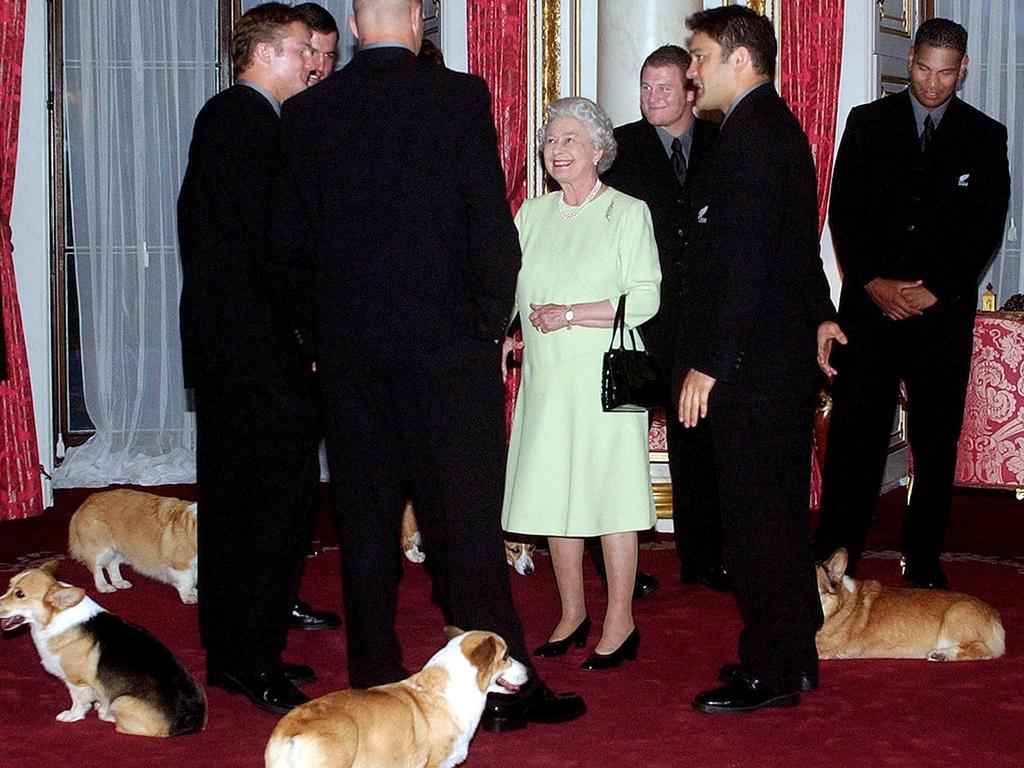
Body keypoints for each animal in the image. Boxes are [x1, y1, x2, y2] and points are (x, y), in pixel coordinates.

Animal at [0, 561, 207, 737]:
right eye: (9, 586)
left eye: (20, 594)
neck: (54, 619)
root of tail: (190, 722)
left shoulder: (77, 682)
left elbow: (78, 702)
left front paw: (72, 715)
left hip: (120, 701)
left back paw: (105, 712)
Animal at [68, 489, 197, 606]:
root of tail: (87, 501)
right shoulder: (180, 564)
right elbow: (187, 581)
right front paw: (189, 596)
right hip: (100, 549)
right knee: (97, 569)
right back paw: (104, 586)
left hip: (117, 550)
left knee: (112, 565)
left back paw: (119, 582)